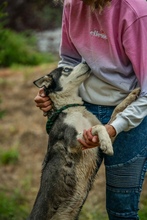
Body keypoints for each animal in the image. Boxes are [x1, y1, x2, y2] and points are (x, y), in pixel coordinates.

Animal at [27, 62, 140, 220]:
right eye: (66, 69)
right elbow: (98, 127)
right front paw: (107, 145)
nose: (86, 62)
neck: (72, 108)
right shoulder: (75, 141)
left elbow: (115, 112)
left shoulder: (105, 132)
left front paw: (132, 95)